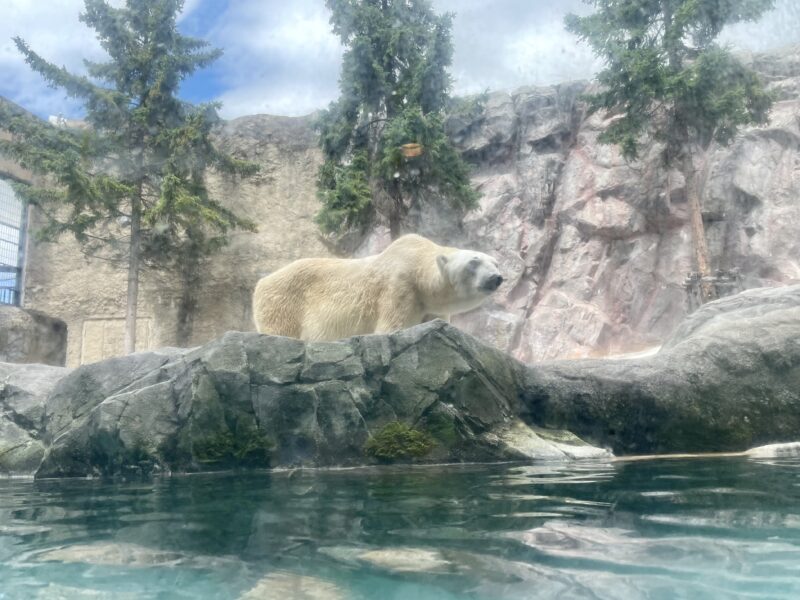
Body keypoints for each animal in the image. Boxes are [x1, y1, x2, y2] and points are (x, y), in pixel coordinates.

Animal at [252, 233, 500, 340]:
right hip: (285, 303)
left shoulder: (429, 307)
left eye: (496, 262)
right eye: (474, 261)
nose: (496, 277)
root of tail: (261, 282)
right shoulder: (399, 287)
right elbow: (390, 326)